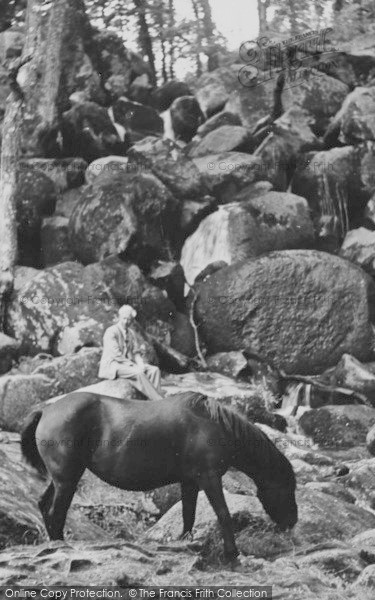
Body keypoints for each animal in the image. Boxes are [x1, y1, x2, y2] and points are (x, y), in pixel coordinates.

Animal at [22, 392, 298, 560]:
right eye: (288, 487)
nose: (292, 522)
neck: (215, 427)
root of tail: (46, 411)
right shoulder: (209, 478)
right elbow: (223, 514)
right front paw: (232, 553)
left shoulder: (190, 481)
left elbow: (188, 515)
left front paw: (185, 543)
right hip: (67, 479)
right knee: (56, 513)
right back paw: (60, 547)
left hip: (61, 479)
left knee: (45, 506)